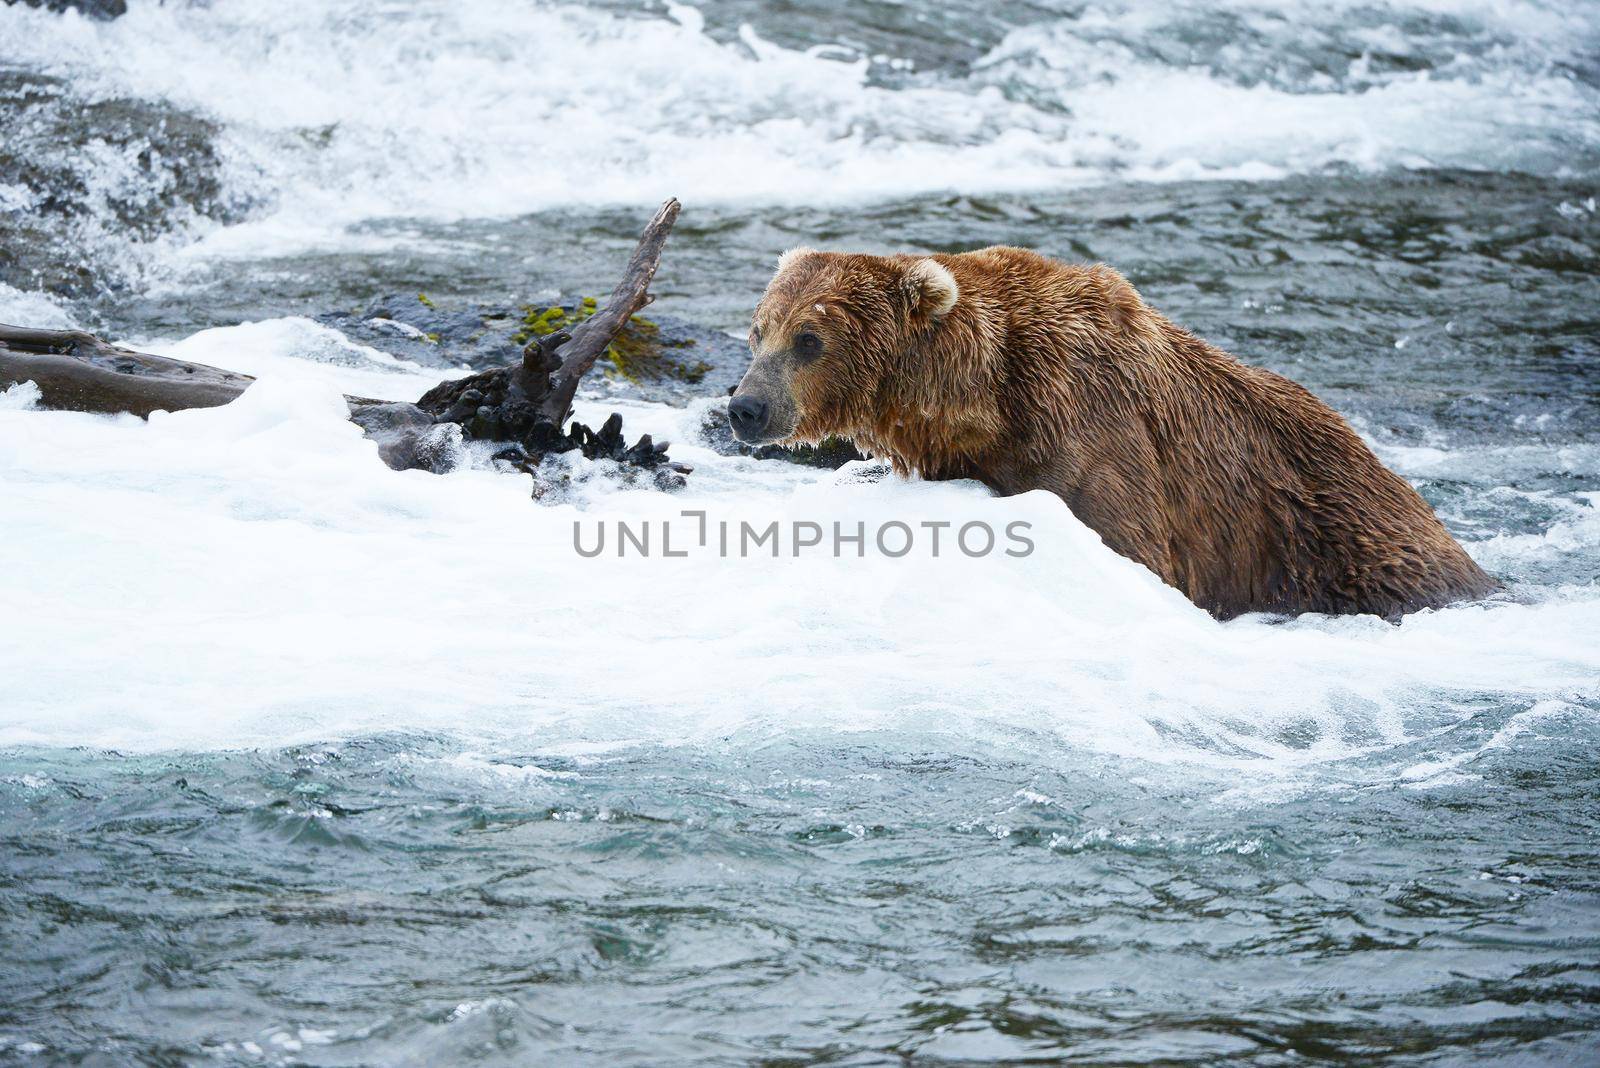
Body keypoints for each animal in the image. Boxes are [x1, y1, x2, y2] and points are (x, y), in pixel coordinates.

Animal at [729, 246, 1497, 617]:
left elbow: (1131, 543)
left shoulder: (1096, 432)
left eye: (809, 339)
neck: (985, 396)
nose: (746, 407)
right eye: (759, 331)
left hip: (1334, 537)